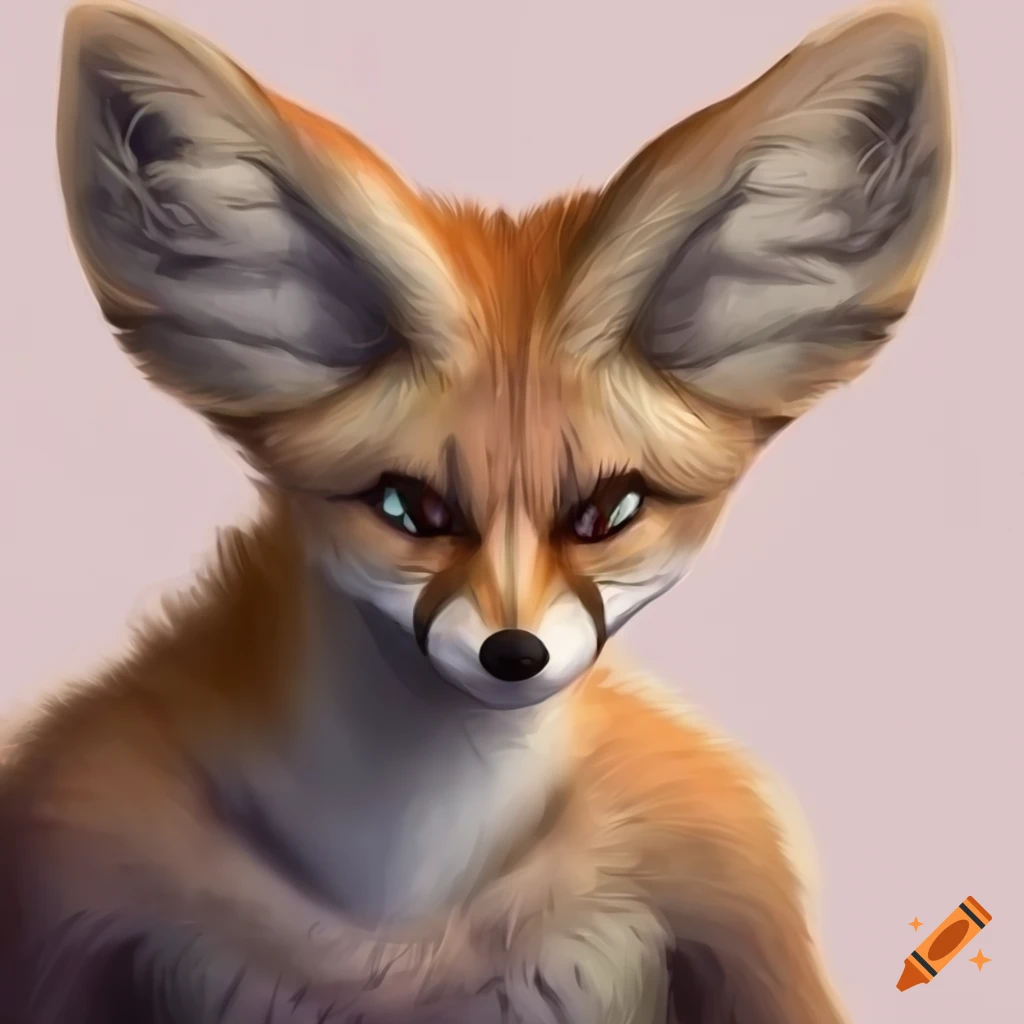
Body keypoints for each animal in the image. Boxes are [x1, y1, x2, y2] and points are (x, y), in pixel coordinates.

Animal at [0, 1, 952, 1022]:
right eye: (407, 506)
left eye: (608, 509)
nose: (514, 654)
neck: (401, 906)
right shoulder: (72, 868)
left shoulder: (724, 879)